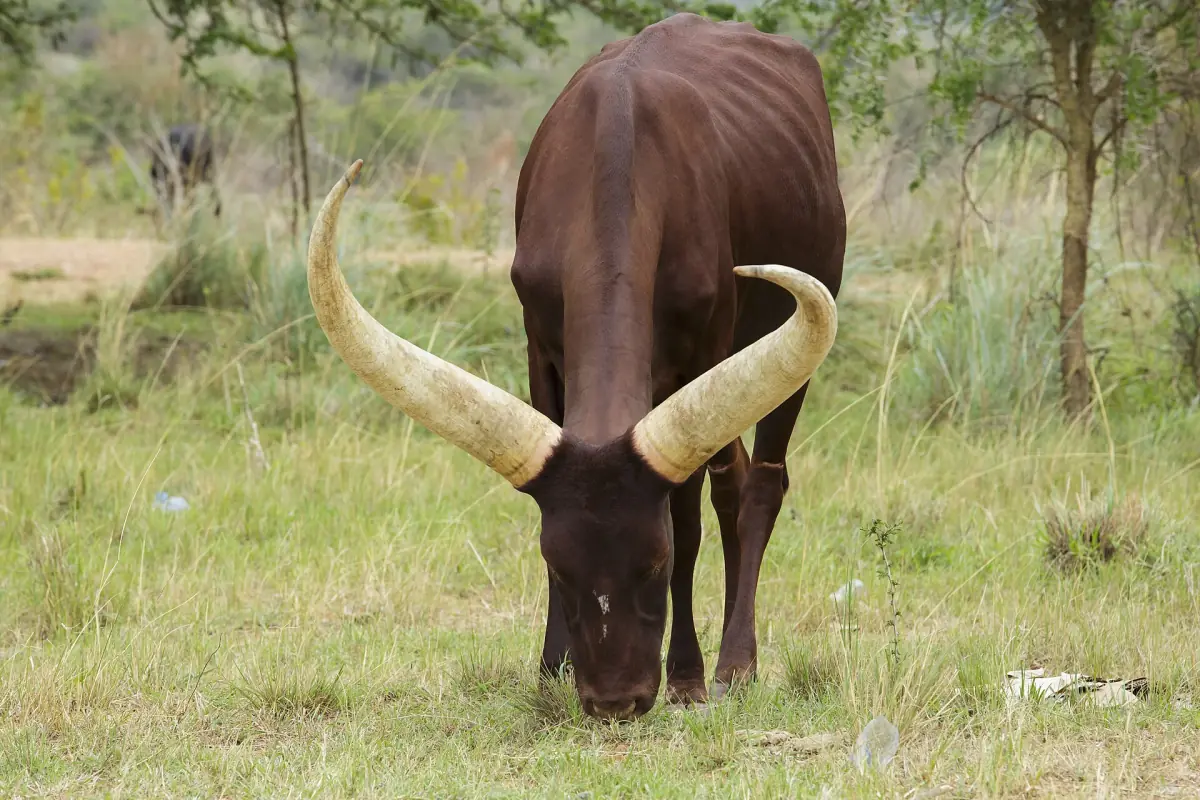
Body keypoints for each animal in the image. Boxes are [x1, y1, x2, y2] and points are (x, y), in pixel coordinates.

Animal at [307, 13, 845, 721]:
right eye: (560, 568)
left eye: (654, 565)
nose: (616, 701)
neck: (618, 159)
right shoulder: (540, 348)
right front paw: (550, 668)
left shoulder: (701, 356)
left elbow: (689, 517)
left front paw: (688, 677)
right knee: (735, 474)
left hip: (789, 337)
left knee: (757, 484)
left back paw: (736, 663)